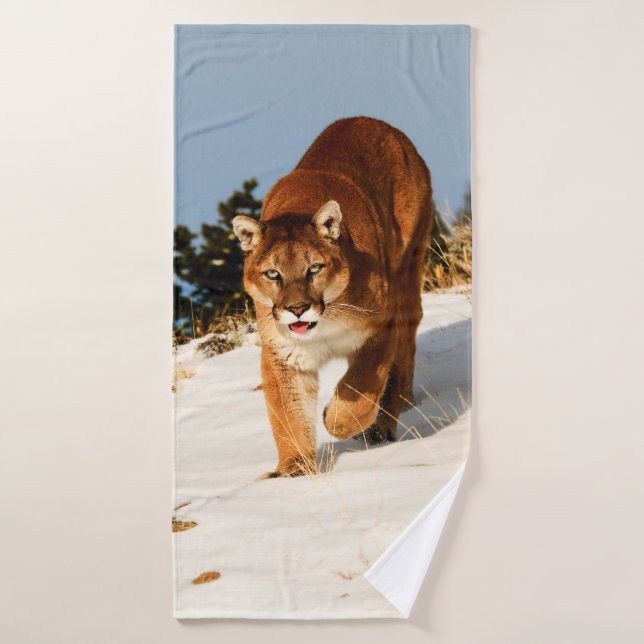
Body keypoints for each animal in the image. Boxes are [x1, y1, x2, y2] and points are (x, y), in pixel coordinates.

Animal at [232, 117, 433, 477]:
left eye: (313, 268)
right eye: (273, 274)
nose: (297, 309)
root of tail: (369, 120)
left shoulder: (380, 327)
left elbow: (360, 388)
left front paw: (336, 420)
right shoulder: (282, 353)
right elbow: (288, 414)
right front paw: (295, 471)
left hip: (408, 267)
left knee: (404, 348)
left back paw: (387, 420)